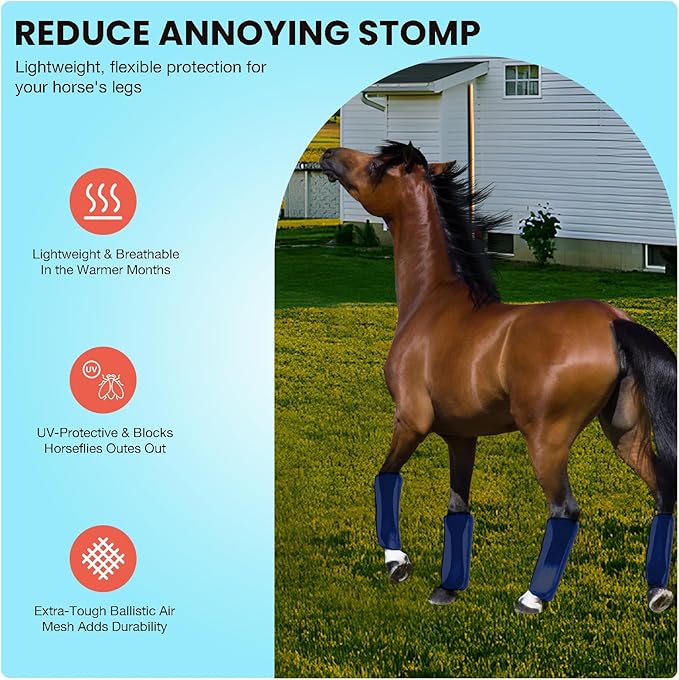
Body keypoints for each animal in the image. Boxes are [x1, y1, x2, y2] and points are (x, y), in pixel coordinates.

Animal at [320, 141, 676, 614]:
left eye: (378, 164)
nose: (328, 155)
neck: (431, 303)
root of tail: (614, 322)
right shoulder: (460, 437)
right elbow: (457, 507)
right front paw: (446, 588)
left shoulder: (412, 421)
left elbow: (385, 477)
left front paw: (397, 563)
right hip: (625, 433)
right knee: (662, 491)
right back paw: (658, 592)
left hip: (547, 441)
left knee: (565, 510)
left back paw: (532, 598)